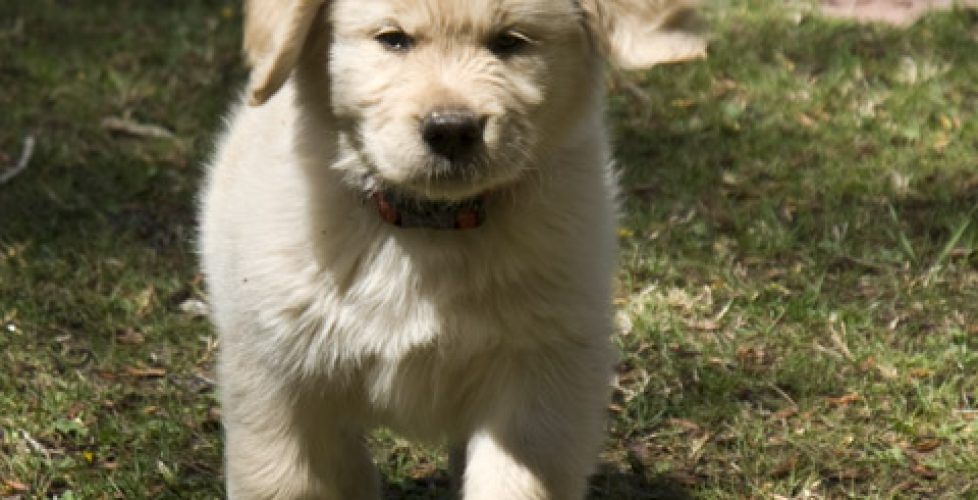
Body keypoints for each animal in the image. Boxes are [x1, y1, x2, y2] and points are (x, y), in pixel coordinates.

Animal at [198, 0, 700, 498]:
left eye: (509, 42)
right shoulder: (278, 383)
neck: (430, 226)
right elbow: (285, 477)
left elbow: (514, 481)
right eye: (394, 39)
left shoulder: (541, 386)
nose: (452, 131)